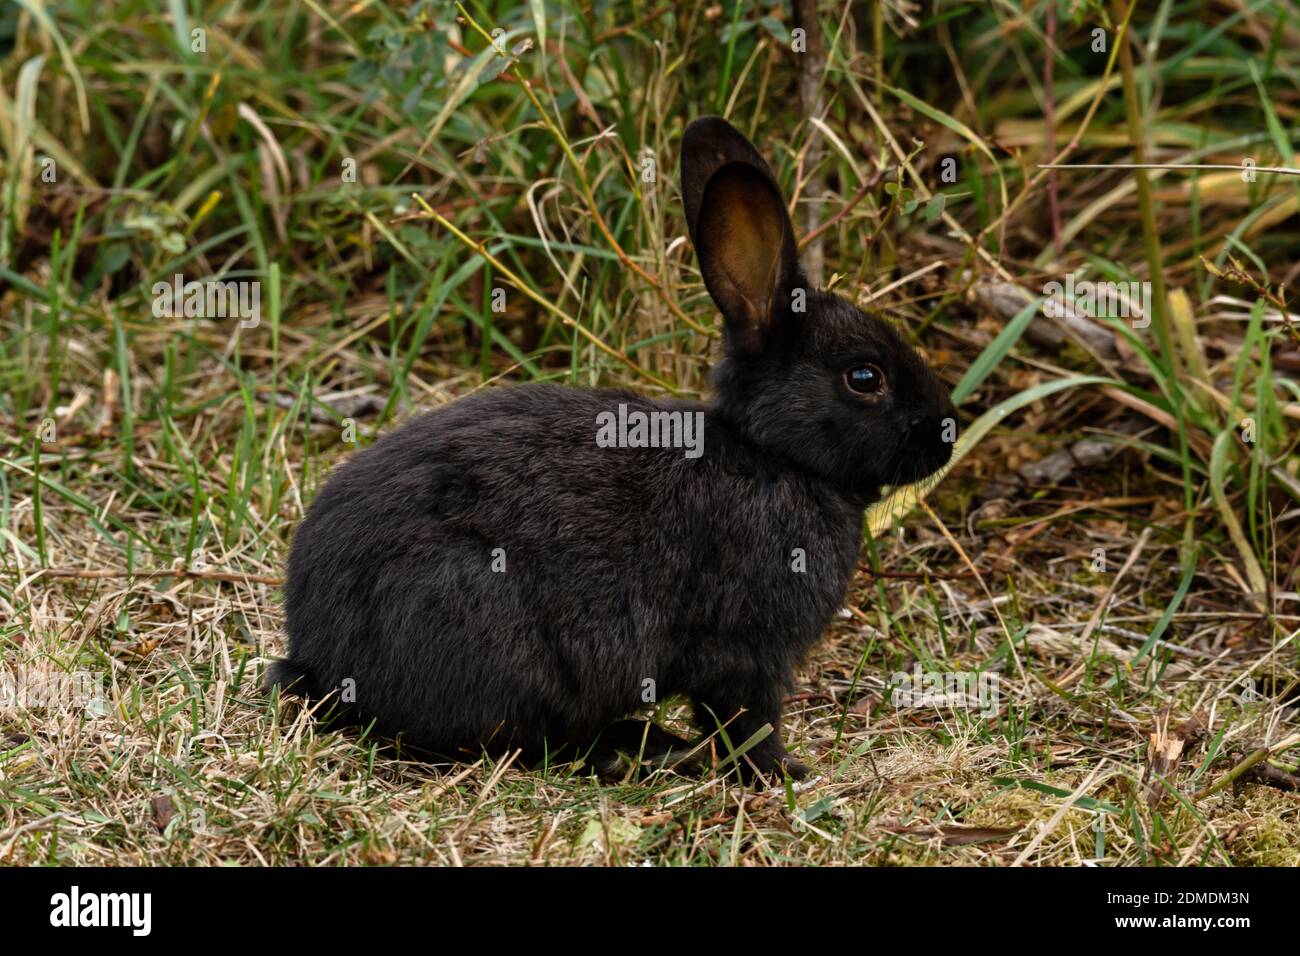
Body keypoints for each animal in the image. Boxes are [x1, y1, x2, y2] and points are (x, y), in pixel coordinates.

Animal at [268, 115, 957, 781]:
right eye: (865, 377)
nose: (947, 432)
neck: (773, 456)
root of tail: (322, 658)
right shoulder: (743, 650)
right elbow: (744, 718)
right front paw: (783, 773)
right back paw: (632, 751)